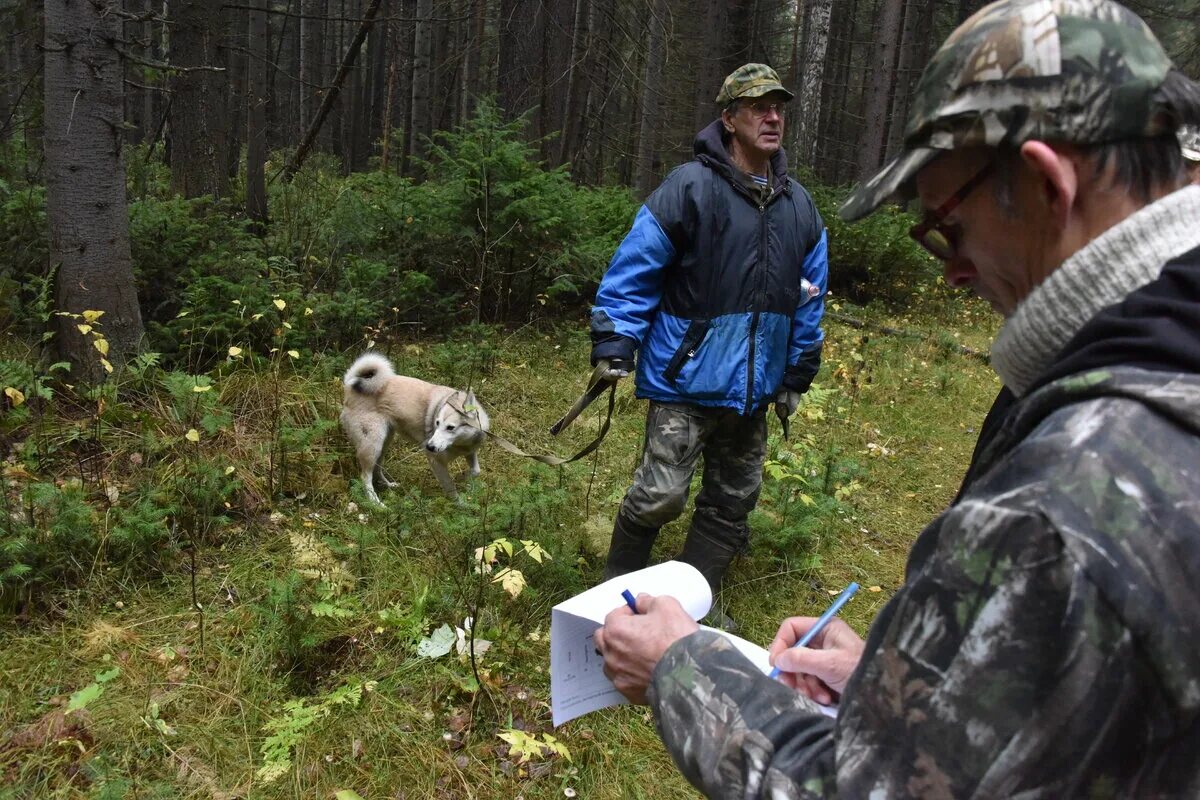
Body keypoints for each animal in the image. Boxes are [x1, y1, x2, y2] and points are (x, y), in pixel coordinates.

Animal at [340, 352, 489, 503]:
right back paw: (375, 502)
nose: (429, 446)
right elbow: (451, 488)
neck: (460, 444)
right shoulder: (436, 462)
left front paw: (463, 476)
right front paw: (460, 504)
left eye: (450, 427)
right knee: (365, 476)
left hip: (384, 443)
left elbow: (476, 471)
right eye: (437, 423)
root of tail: (350, 388)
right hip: (372, 445)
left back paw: (388, 485)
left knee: (377, 469)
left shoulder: (470, 452)